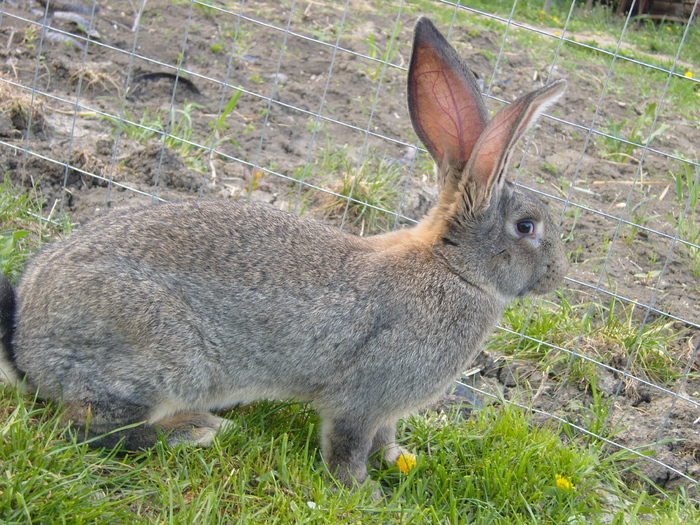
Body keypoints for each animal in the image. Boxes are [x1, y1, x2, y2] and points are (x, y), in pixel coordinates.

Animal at [0, 18, 568, 490]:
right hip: (161, 353)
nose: (557, 276)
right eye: (526, 227)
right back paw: (196, 430)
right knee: (87, 428)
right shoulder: (365, 396)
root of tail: (25, 345)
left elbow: (384, 437)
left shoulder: (387, 408)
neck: (453, 268)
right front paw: (361, 492)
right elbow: (348, 442)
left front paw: (399, 461)